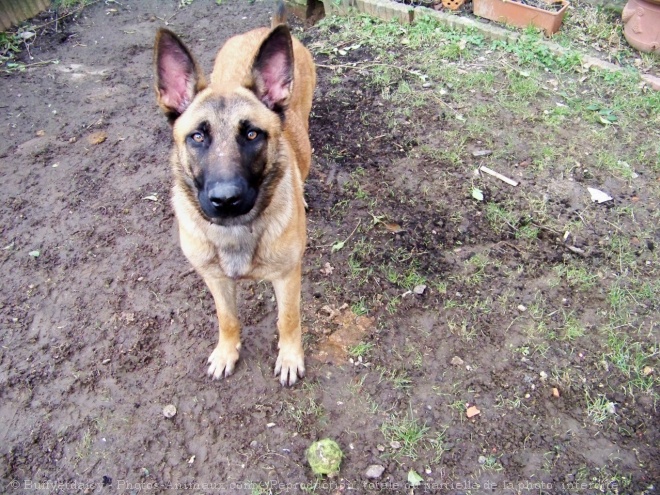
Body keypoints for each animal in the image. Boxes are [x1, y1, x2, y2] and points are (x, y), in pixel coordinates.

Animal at [156, 1, 318, 386]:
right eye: (198, 136)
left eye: (252, 134)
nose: (226, 200)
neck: (235, 233)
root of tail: (264, 29)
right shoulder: (214, 279)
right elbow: (227, 318)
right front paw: (227, 351)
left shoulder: (288, 277)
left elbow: (288, 320)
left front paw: (290, 357)